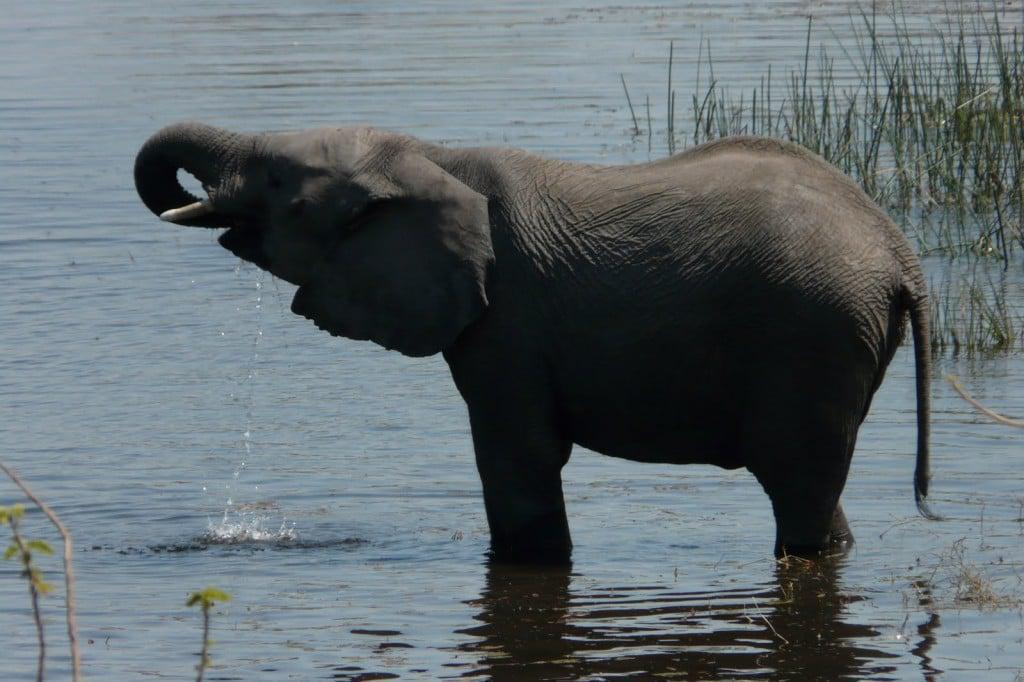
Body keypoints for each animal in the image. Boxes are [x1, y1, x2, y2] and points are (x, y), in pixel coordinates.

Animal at [134, 121, 936, 562]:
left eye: (280, 185)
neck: (429, 153)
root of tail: (901, 255)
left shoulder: (507, 321)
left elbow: (518, 457)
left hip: (811, 335)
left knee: (798, 487)